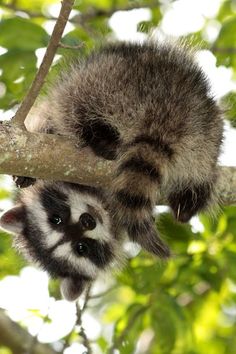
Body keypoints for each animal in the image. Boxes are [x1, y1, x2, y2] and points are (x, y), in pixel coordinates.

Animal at [15, 40, 222, 258]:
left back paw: (99, 135)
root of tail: (165, 108)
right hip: (207, 135)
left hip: (102, 85)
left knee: (75, 106)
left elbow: (45, 121)